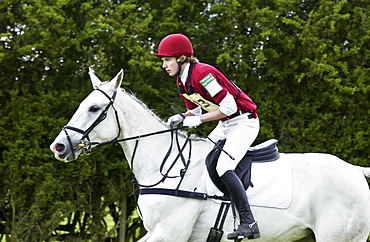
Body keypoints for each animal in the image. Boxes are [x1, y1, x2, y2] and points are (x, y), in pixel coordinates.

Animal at [49, 69, 370, 241]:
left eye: (94, 109)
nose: (59, 147)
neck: (164, 166)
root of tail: (354, 170)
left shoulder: (170, 232)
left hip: (337, 235)